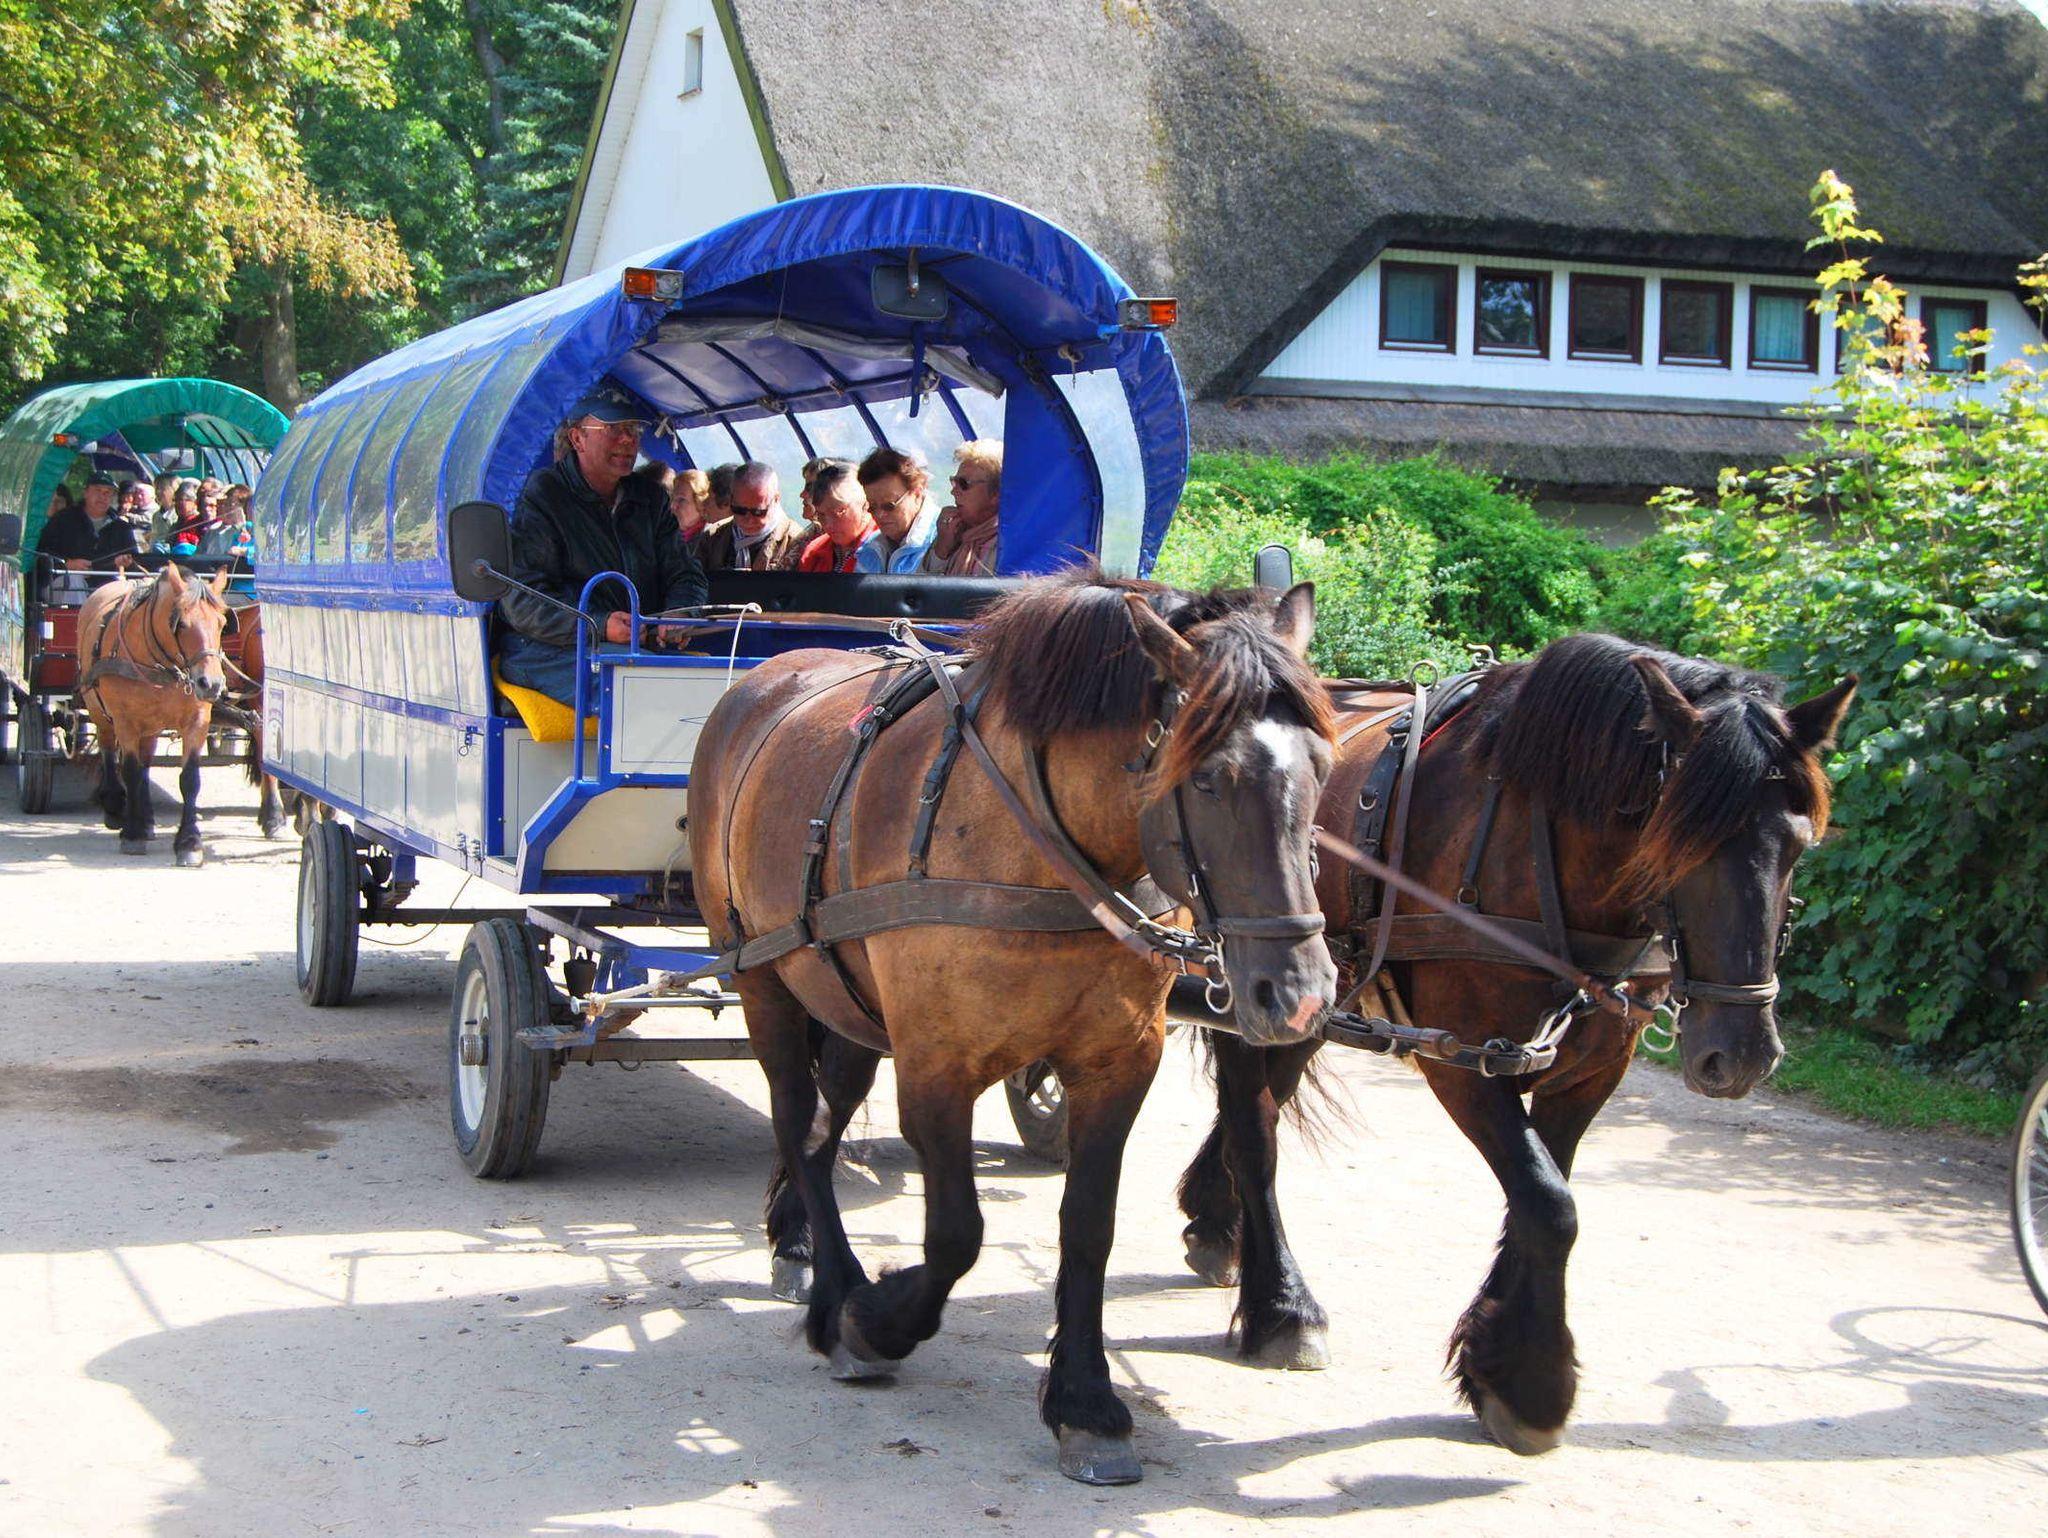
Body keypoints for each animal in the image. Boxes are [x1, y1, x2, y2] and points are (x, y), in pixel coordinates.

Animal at [75, 564, 233, 865]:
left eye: (221, 623)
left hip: (151, 725)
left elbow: (189, 779)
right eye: (181, 624)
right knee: (109, 748)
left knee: (146, 764)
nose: (211, 683)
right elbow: (130, 770)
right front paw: (132, 834)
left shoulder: (197, 721)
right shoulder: (125, 721)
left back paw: (146, 818)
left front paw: (189, 841)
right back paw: (116, 806)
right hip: (99, 710)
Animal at [688, 570, 1340, 1485]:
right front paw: (877, 1322)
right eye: (1210, 778)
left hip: (846, 1001)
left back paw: (813, 1258)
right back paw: (830, 1292)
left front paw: (1086, 1403)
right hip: (760, 976)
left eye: (1324, 767)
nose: (1301, 994)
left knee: (819, 1123)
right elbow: (957, 1233)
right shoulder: (936, 1065)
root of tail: (763, 679)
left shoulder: (1117, 1062)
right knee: (795, 1117)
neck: (1037, 846)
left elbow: (1089, 1227)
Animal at [1173, 632, 1856, 1453]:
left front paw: (1498, 1360)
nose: (1742, 1053)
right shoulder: (1465, 1059)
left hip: (1315, 993)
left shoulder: (1592, 1069)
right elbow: (1548, 1202)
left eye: (1798, 844)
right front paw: (1532, 1382)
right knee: (1255, 1127)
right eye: (1677, 841)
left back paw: (1217, 1222)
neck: (1537, 844)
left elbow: (1543, 1196)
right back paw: (1282, 1306)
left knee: (1265, 1103)